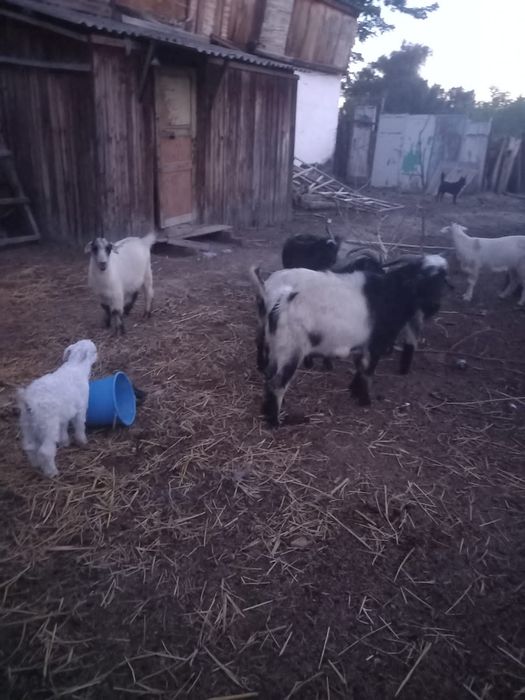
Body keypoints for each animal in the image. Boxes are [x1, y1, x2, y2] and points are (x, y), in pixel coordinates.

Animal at [17, 340, 98, 477]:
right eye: (94, 350)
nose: (98, 355)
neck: (76, 366)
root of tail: (29, 403)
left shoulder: (64, 412)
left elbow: (64, 427)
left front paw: (64, 442)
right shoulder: (81, 408)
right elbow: (80, 425)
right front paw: (82, 441)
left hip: (27, 426)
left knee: (30, 446)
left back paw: (36, 464)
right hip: (48, 426)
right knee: (45, 451)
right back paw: (52, 472)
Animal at [250, 255, 449, 427]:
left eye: (443, 280)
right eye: (423, 278)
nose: (434, 307)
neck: (391, 296)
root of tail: (281, 302)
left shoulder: (362, 345)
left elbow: (360, 368)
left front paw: (353, 391)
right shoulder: (375, 344)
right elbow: (368, 371)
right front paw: (365, 400)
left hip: (276, 346)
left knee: (269, 373)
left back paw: (267, 410)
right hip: (291, 349)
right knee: (277, 383)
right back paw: (275, 422)